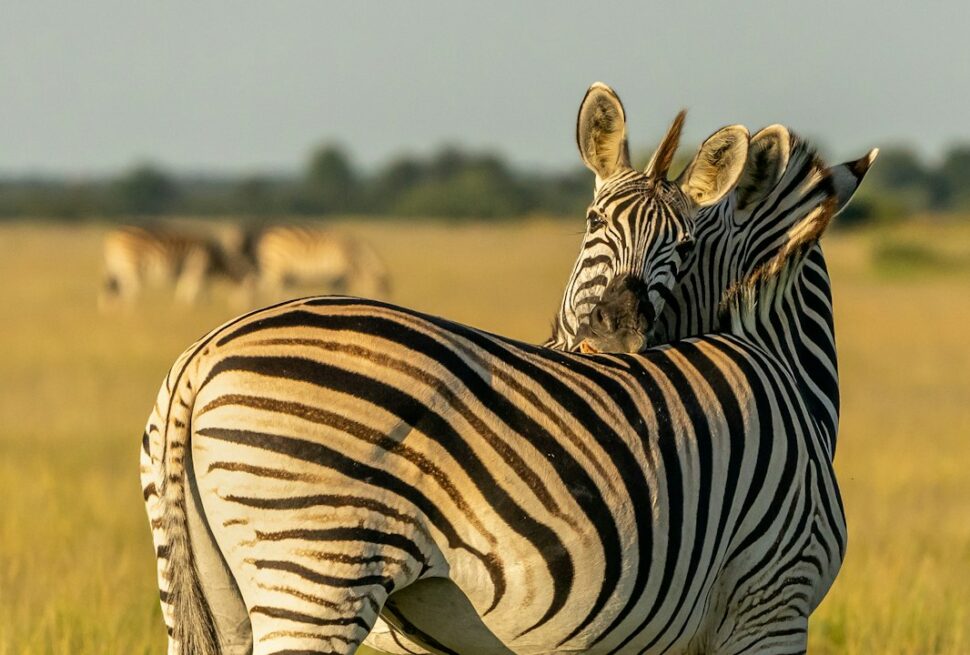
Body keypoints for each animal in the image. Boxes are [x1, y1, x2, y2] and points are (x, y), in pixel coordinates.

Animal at [100, 224, 252, 309]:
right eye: (247, 292)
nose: (243, 308)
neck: (215, 258)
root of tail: (112, 236)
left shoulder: (191, 270)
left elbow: (185, 288)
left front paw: (182, 306)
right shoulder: (198, 267)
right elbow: (198, 289)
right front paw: (198, 306)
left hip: (117, 264)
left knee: (113, 288)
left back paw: (113, 308)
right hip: (131, 264)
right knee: (130, 288)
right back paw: (132, 309)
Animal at [244, 225, 391, 301]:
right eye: (381, 293)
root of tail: (265, 236)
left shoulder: (338, 277)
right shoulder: (347, 272)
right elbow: (355, 288)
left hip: (273, 269)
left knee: (255, 284)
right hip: (275, 265)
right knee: (266, 287)